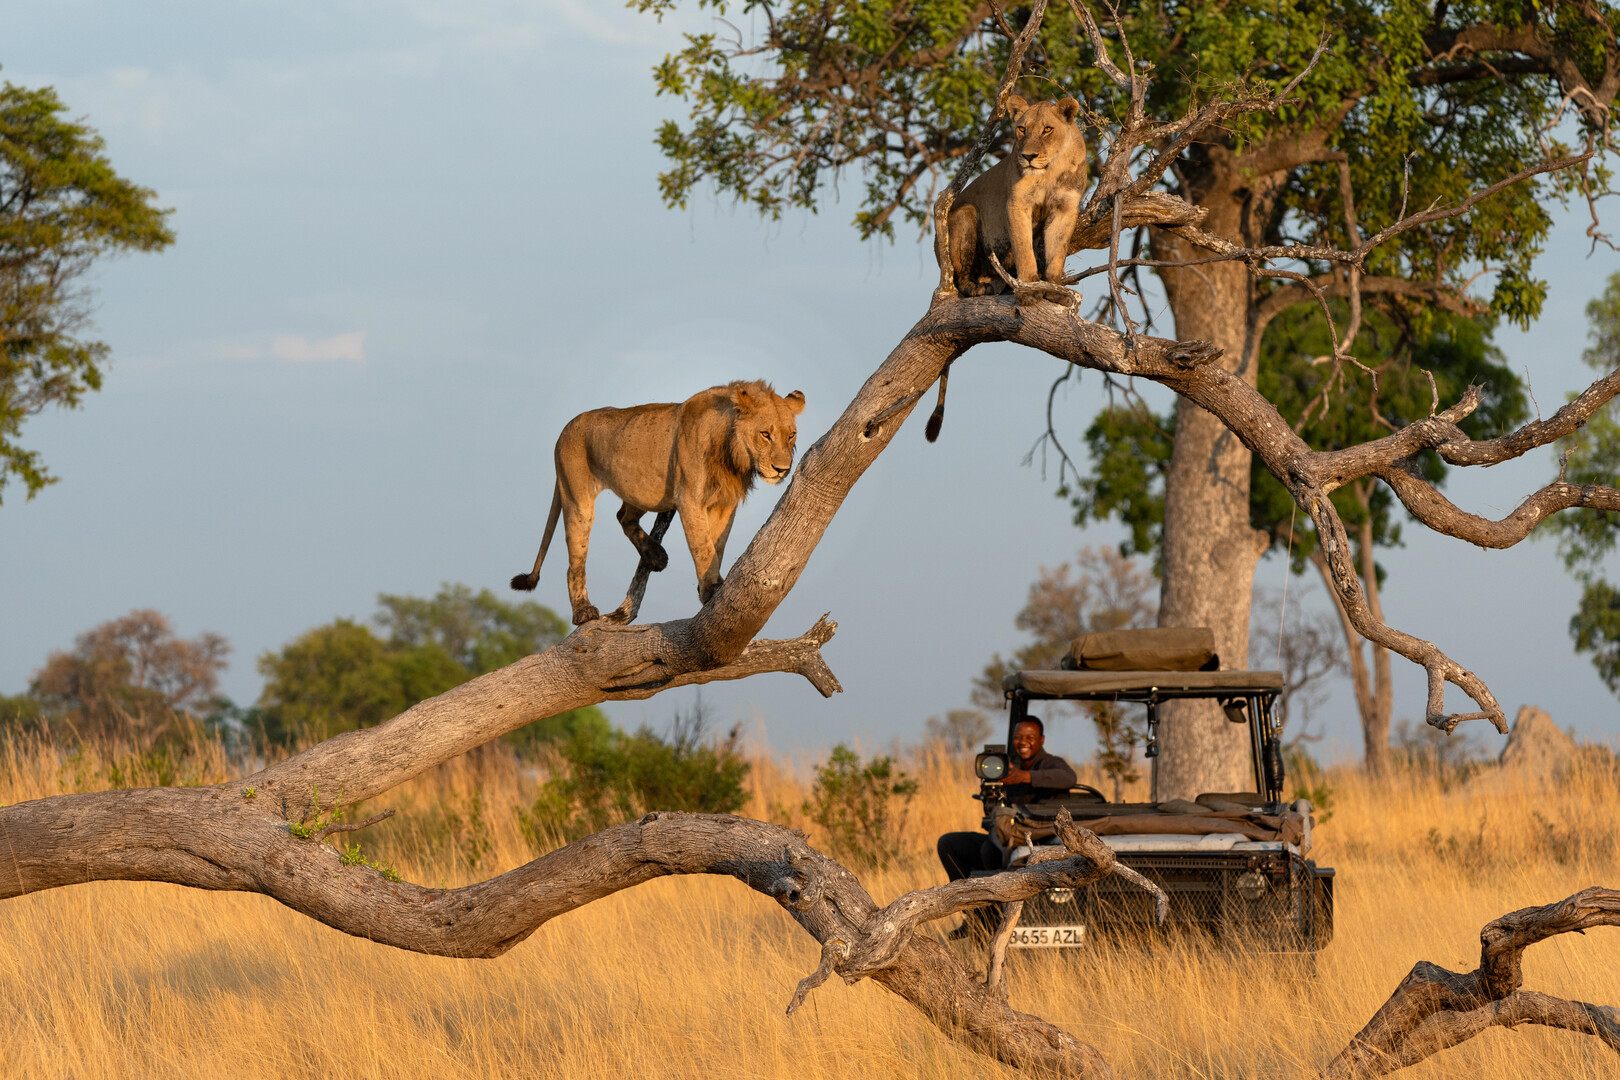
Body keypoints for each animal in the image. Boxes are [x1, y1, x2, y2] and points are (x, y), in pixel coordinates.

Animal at [510, 380, 807, 625]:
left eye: (791, 435)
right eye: (765, 434)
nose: (782, 469)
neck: (731, 453)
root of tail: (566, 427)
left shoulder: (724, 503)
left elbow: (717, 545)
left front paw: (713, 586)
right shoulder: (690, 499)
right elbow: (703, 547)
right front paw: (710, 589)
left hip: (642, 488)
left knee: (623, 517)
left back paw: (655, 555)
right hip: (576, 496)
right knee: (576, 561)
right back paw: (583, 611)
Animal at [929, 95, 1088, 442]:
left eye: (1047, 129)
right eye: (1021, 129)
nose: (1027, 156)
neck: (1050, 169)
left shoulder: (1066, 207)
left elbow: (1056, 254)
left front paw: (1054, 290)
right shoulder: (1017, 204)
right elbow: (1026, 250)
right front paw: (1028, 290)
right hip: (964, 216)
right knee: (960, 277)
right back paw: (978, 286)